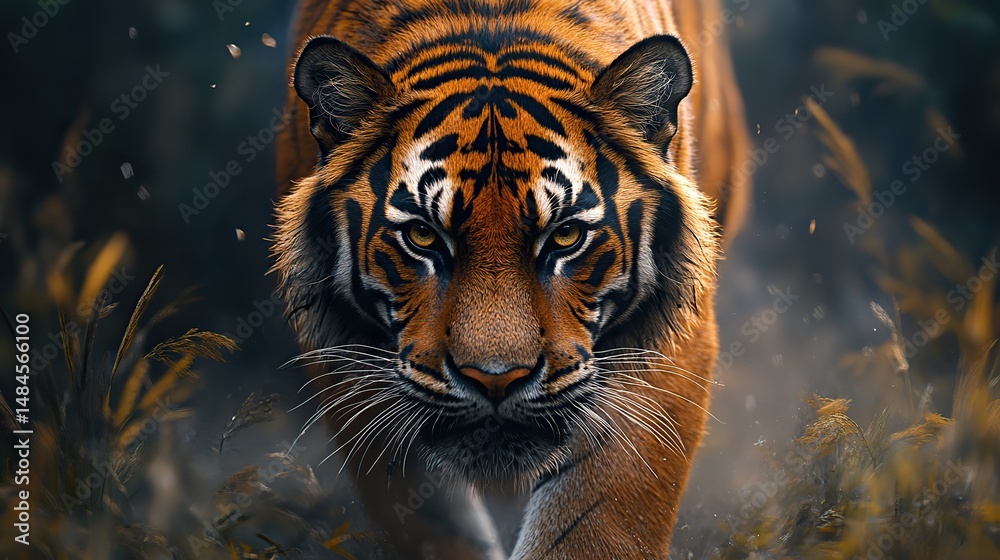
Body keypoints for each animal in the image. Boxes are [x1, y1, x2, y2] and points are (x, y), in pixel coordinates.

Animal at [272, 0, 749, 557]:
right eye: (422, 235)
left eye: (566, 236)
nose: (495, 379)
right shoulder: (346, 364)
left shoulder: (666, 346)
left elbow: (595, 522)